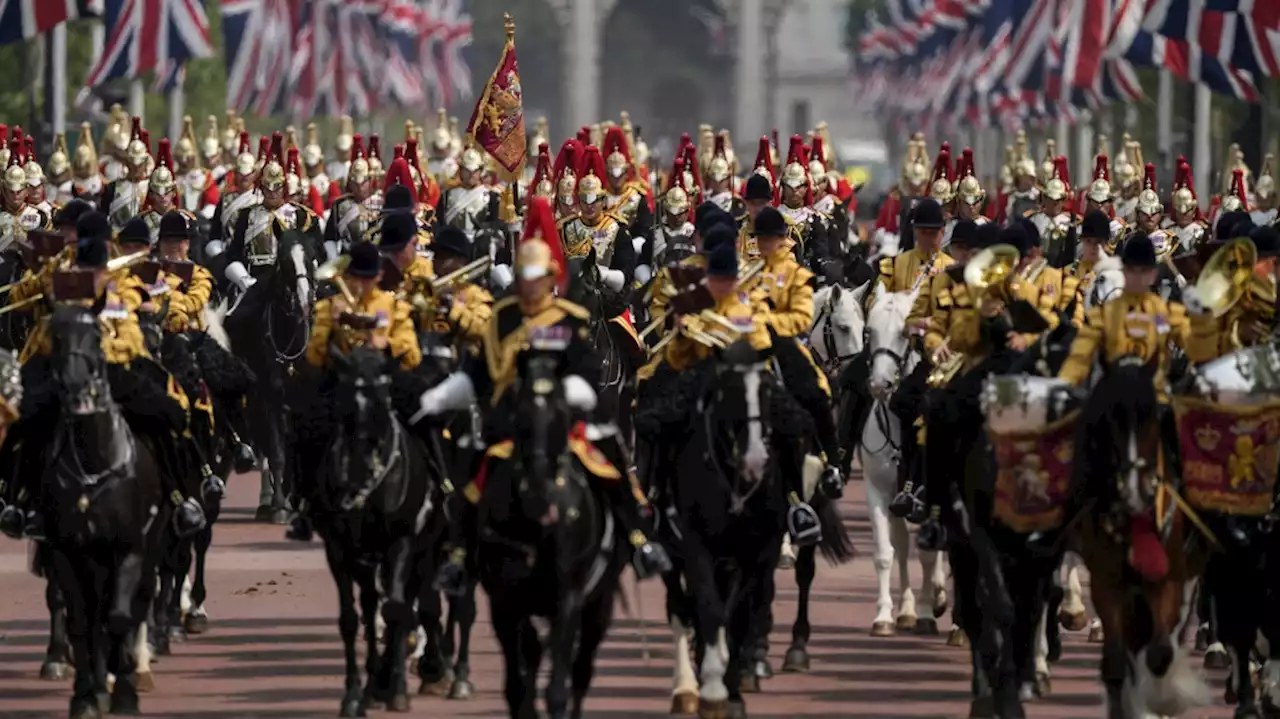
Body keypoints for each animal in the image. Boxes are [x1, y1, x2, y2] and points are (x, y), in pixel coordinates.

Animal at [40, 303, 167, 716]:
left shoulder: (129, 548)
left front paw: (123, 691)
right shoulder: (65, 550)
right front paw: (85, 694)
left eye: (98, 336)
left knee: (138, 602)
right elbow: (81, 620)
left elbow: (120, 616)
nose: (76, 390)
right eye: (55, 335)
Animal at [225, 227, 314, 519]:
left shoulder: (305, 396)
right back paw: (268, 500)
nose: (304, 302)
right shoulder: (271, 394)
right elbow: (276, 450)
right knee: (263, 444)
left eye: (311, 256)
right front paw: (280, 505)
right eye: (284, 260)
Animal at [312, 345, 437, 711]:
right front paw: (354, 693)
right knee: (370, 605)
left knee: (406, 603)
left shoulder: (402, 542)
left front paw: (395, 689)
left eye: (385, 399)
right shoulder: (338, 549)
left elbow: (396, 611)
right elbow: (350, 620)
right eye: (344, 404)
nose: (357, 479)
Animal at [473, 350, 627, 711]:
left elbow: (558, 689)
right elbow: (517, 684)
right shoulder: (504, 603)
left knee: (581, 669)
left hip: (598, 604)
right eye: (519, 415)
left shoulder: (567, 599)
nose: (538, 498)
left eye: (562, 414)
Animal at [860, 285, 952, 632]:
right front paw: (885, 614)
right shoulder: (878, 491)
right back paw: (907, 609)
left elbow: (927, 555)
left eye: (905, 333)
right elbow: (885, 552)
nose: (879, 384)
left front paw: (926, 611)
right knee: (902, 545)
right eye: (869, 330)